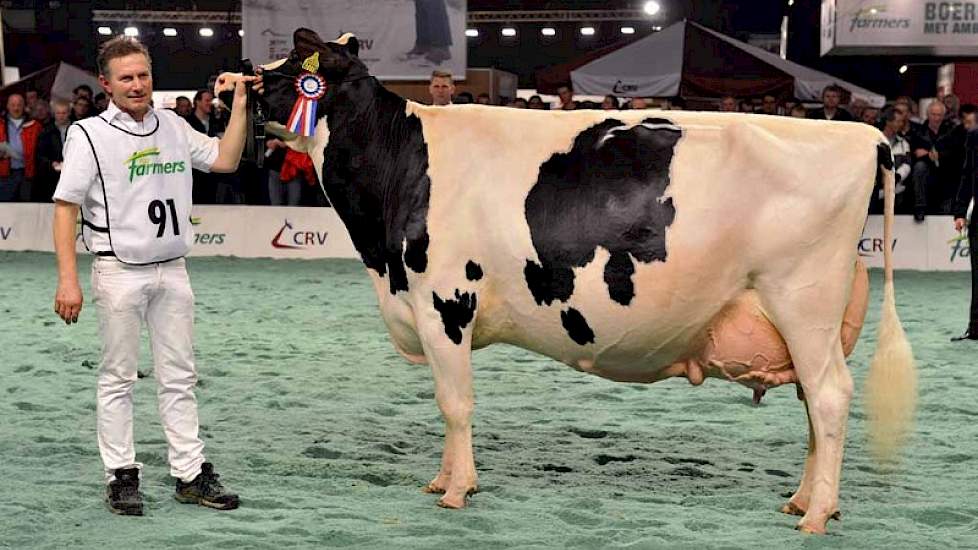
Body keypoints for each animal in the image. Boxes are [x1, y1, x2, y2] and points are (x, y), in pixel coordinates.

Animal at [246, 30, 916, 536]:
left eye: (291, 71)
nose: (238, 83)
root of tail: (864, 134)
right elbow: (450, 406)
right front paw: (441, 479)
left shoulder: (446, 303)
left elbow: (454, 403)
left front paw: (457, 490)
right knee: (814, 409)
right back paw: (803, 499)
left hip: (803, 304)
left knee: (830, 399)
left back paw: (817, 515)